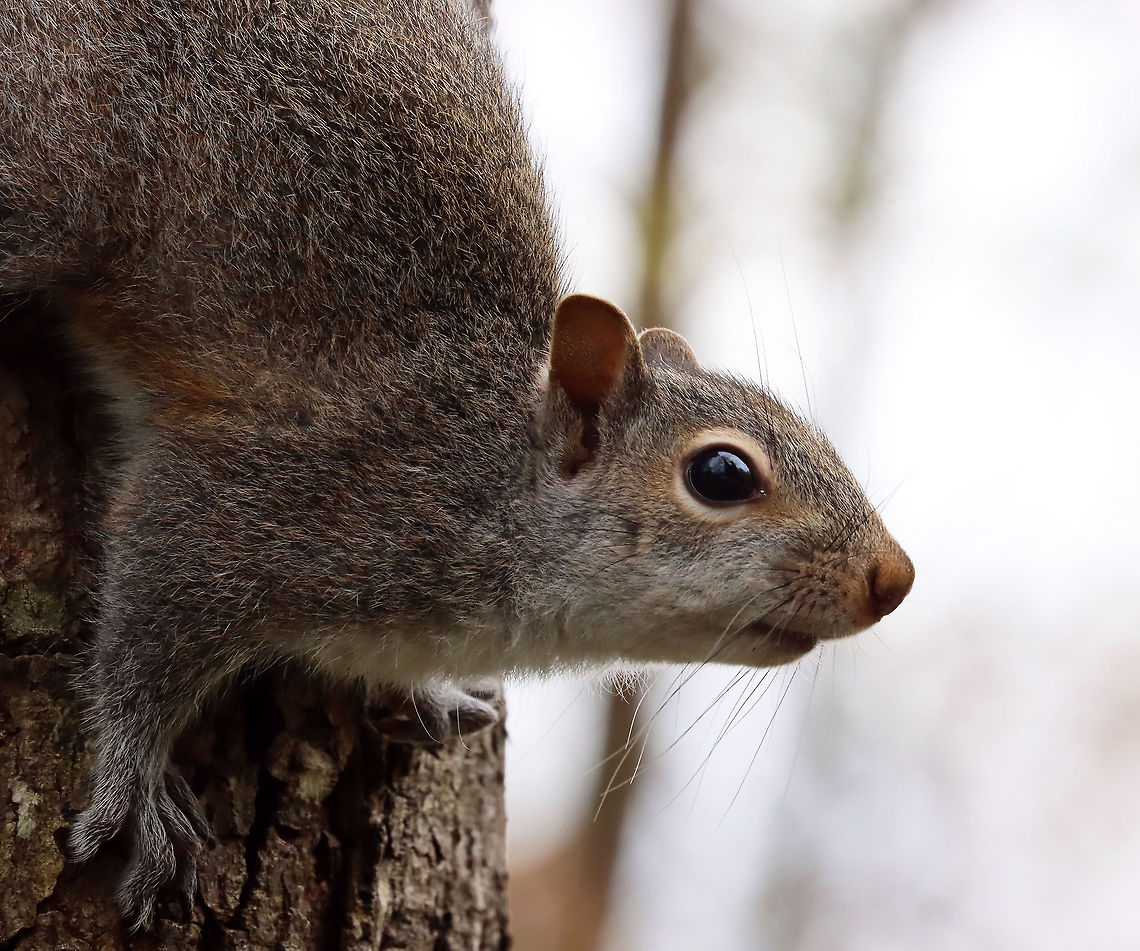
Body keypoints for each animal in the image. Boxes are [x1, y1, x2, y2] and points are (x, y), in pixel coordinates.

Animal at [0, 0, 913, 930]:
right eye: (722, 475)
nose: (895, 577)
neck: (483, 471)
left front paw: (429, 696)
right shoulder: (264, 500)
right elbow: (142, 630)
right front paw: (136, 782)